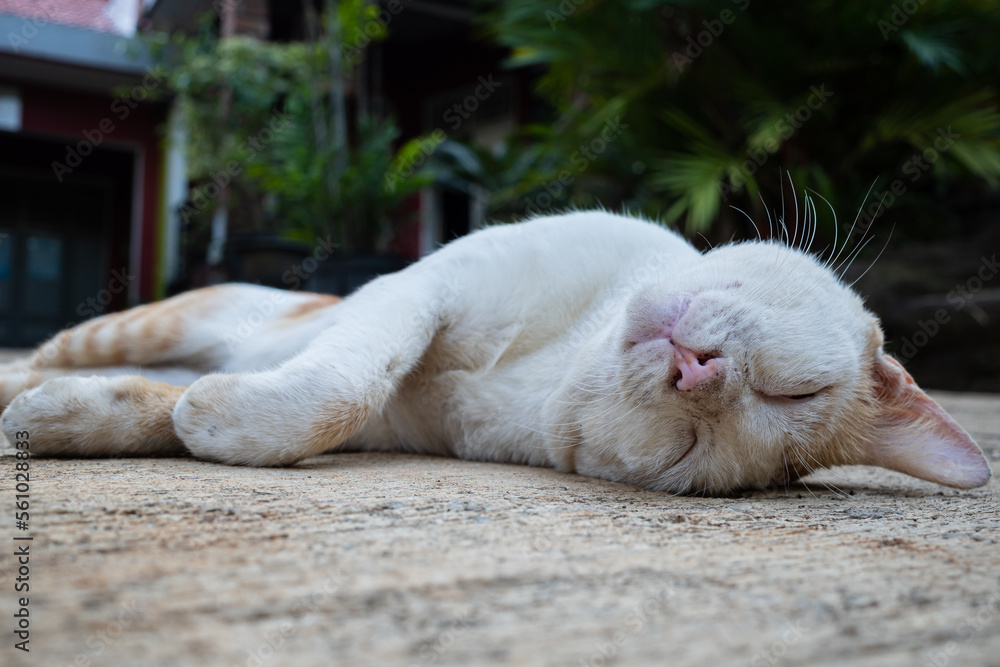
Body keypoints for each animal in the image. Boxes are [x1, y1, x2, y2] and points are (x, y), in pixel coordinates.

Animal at [0, 210, 988, 496]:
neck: (557, 362)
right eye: (798, 390)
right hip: (151, 322)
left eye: (693, 445)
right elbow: (346, 380)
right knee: (44, 351)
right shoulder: (433, 281)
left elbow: (179, 413)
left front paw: (196, 418)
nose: (699, 373)